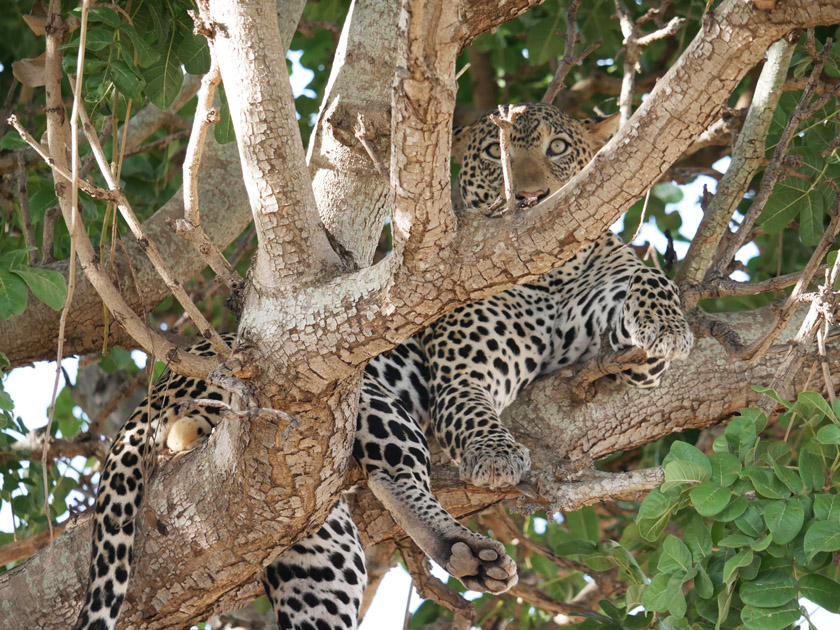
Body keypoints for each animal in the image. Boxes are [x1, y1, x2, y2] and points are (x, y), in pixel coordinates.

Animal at [72, 103, 692, 630]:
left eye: (557, 147)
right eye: (494, 156)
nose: (531, 196)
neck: (551, 272)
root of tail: (153, 394)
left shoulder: (620, 358)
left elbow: (647, 280)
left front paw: (670, 325)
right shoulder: (461, 371)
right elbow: (472, 410)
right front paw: (494, 455)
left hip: (313, 540)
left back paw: (467, 556)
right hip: (341, 400)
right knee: (392, 472)